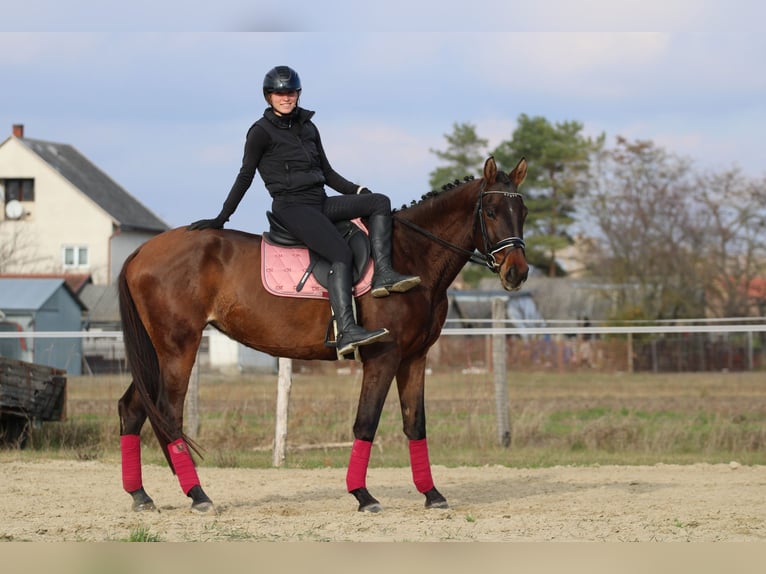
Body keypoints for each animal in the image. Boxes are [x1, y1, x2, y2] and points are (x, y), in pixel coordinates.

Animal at [117, 156, 528, 513]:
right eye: (491, 212)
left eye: (522, 212)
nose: (517, 272)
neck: (410, 256)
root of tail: (141, 251)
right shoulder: (384, 357)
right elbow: (366, 421)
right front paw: (363, 495)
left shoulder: (415, 357)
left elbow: (415, 424)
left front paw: (432, 494)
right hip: (178, 349)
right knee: (168, 412)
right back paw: (198, 495)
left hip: (158, 353)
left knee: (133, 408)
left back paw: (141, 496)